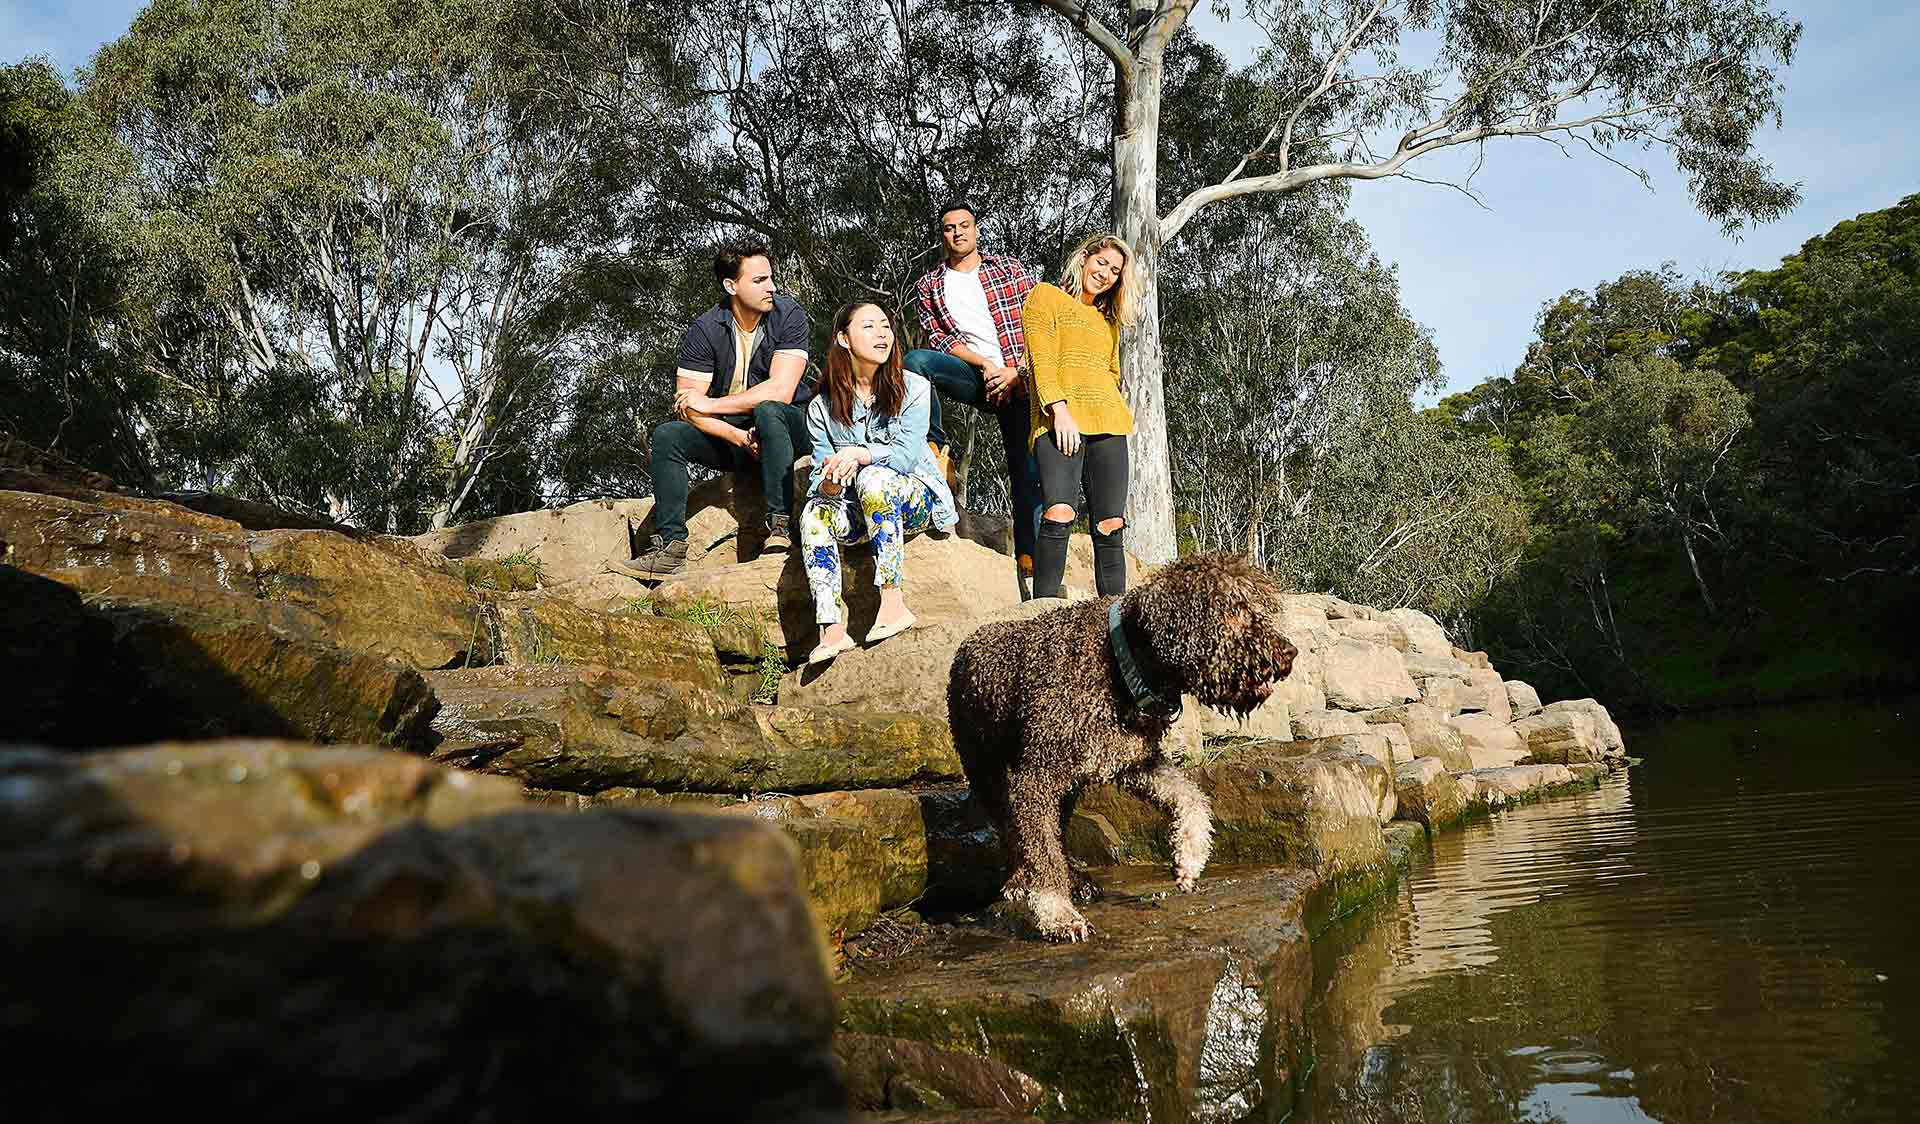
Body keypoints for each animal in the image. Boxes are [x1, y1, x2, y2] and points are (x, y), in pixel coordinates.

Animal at [948, 553, 1297, 937]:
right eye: (1235, 610)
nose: (1290, 652)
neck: (1121, 662)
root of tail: (968, 642)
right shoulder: (1034, 776)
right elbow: (1041, 849)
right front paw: (1057, 912)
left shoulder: (1133, 761)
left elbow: (1191, 797)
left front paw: (1190, 856)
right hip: (987, 769)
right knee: (1012, 830)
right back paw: (1018, 879)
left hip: (1065, 789)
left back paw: (1074, 879)